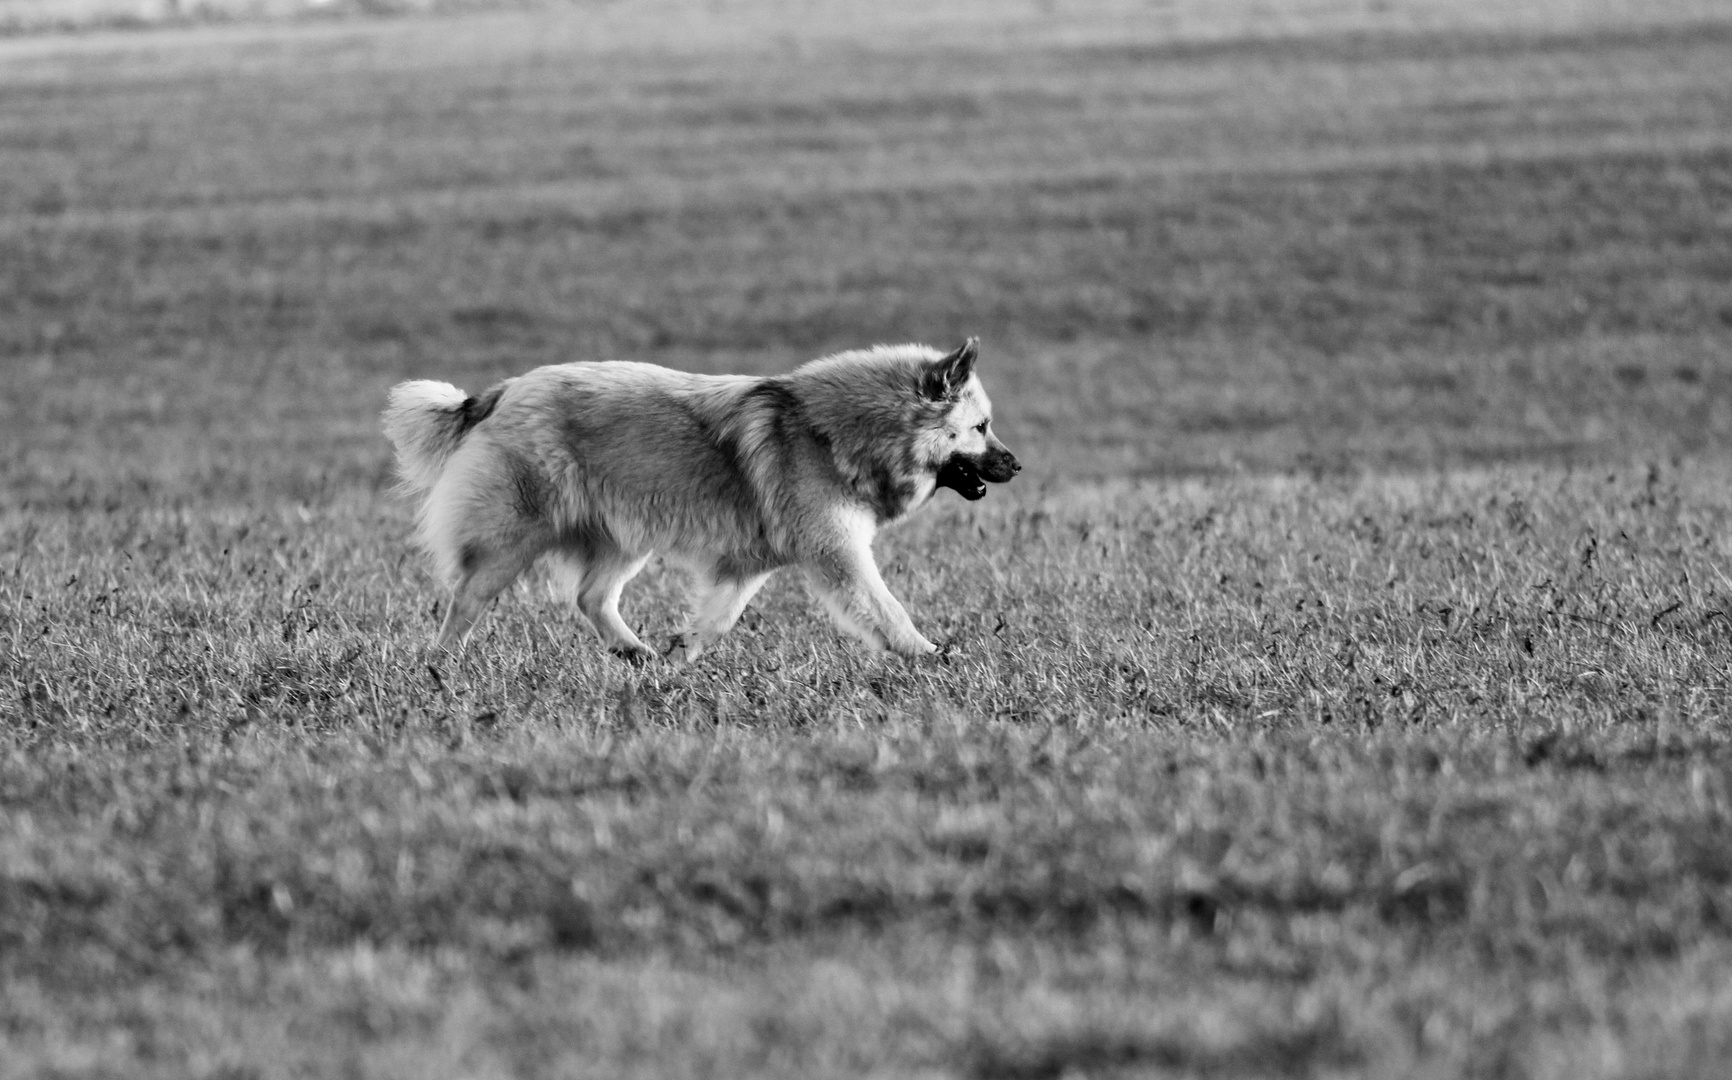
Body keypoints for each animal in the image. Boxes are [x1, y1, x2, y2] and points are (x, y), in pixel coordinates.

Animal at [382, 339, 1011, 657]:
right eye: (980, 428)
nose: (1017, 465)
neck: (829, 432)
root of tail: (504, 391)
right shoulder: (839, 555)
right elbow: (888, 608)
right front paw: (928, 655)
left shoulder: (747, 565)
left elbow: (717, 620)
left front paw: (681, 658)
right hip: (515, 539)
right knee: (465, 601)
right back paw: (440, 666)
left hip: (624, 533)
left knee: (591, 598)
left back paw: (636, 653)